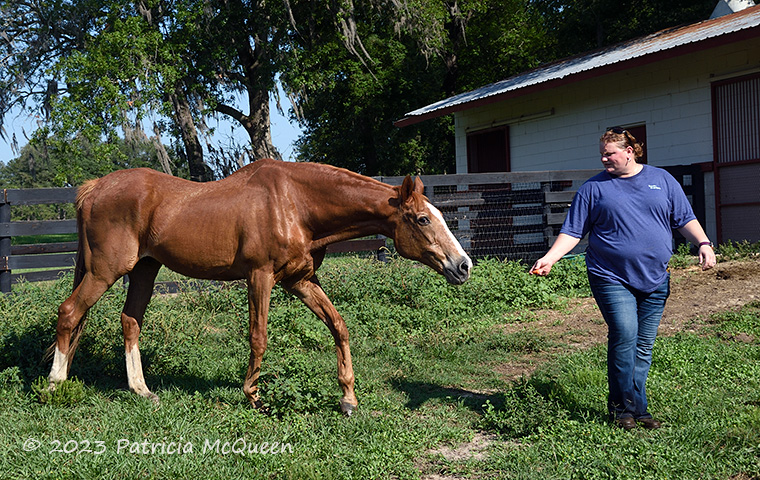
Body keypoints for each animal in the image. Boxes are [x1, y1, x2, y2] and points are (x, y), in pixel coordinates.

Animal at [46, 159, 470, 414]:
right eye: (422, 219)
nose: (463, 265)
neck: (295, 204)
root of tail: (94, 187)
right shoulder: (260, 276)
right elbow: (259, 336)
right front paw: (252, 393)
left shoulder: (300, 281)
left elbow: (339, 326)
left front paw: (348, 397)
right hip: (105, 271)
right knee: (69, 312)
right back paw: (55, 384)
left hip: (144, 271)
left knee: (130, 321)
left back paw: (141, 390)